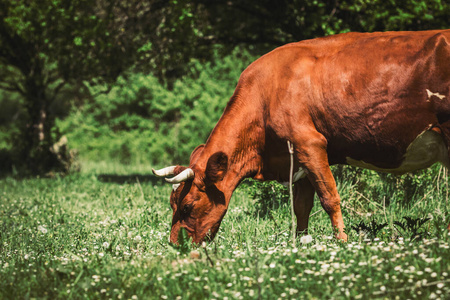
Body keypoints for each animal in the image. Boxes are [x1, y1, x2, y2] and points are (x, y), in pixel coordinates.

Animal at [153, 29, 448, 244]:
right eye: (171, 203)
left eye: (188, 206)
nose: (174, 245)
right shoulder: (298, 159)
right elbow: (301, 206)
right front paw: (299, 243)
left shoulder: (309, 143)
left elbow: (330, 198)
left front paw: (342, 241)